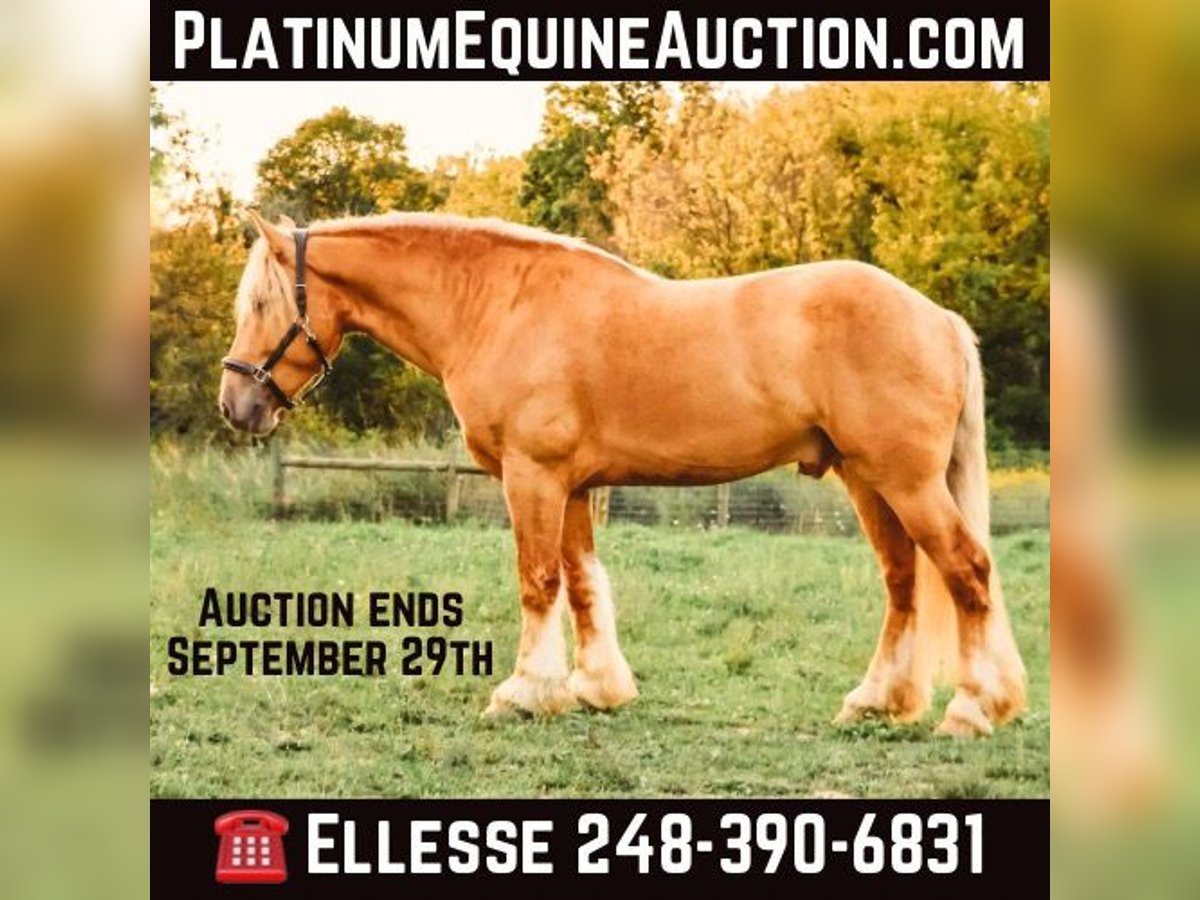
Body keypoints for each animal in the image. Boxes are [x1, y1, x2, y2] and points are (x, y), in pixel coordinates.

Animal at [219, 211, 1027, 736]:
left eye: (260, 302)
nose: (236, 404)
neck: (499, 304)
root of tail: (938, 318)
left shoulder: (533, 477)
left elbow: (538, 581)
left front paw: (524, 692)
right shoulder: (573, 486)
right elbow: (581, 584)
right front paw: (595, 689)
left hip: (905, 482)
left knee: (967, 572)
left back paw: (972, 709)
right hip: (867, 481)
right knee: (904, 582)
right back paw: (878, 701)